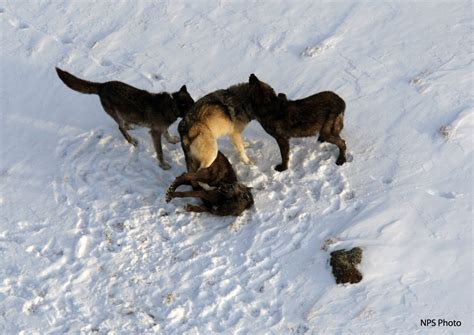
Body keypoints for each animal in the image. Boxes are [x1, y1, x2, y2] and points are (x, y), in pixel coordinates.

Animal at [55, 67, 194, 171]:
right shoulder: (155, 133)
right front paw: (163, 165)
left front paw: (171, 140)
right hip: (118, 117)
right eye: (193, 106)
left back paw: (131, 127)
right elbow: (160, 152)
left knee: (125, 125)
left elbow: (167, 133)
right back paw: (131, 141)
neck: (172, 106)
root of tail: (102, 86)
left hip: (125, 114)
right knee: (120, 128)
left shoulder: (161, 128)